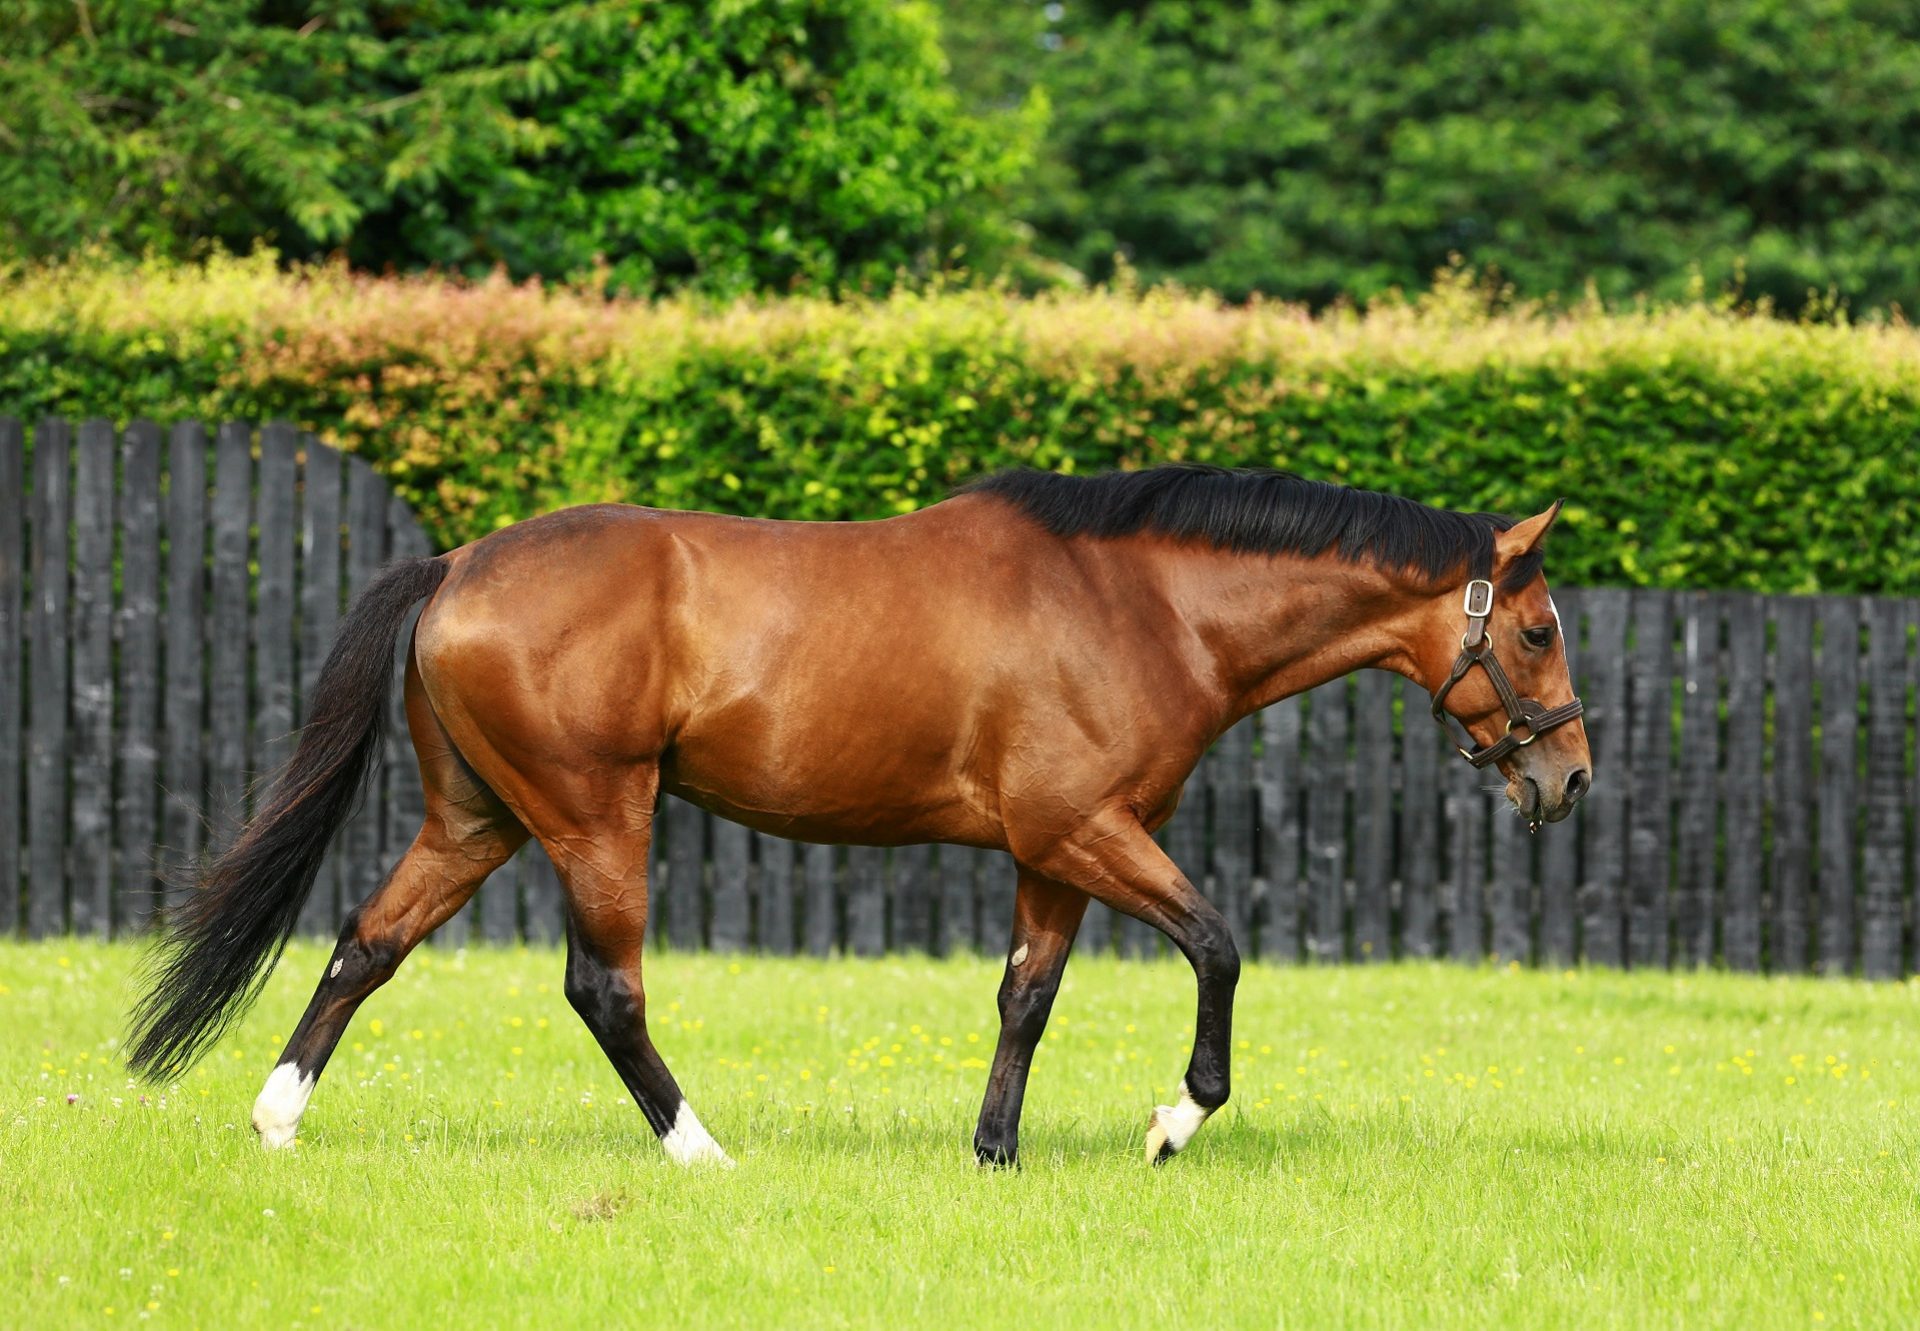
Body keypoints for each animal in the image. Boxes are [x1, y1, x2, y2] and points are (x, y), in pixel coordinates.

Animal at [123, 464, 1589, 1160]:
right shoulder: (1087, 829)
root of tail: (458, 562)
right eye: (1535, 627)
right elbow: (1220, 945)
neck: (1139, 601)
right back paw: (702, 1151)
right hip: (596, 818)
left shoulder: (1050, 851)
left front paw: (995, 1151)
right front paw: (1173, 1122)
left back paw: (277, 1117)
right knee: (606, 989)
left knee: (365, 943)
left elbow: (1025, 997)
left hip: (475, 820)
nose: (1567, 778)